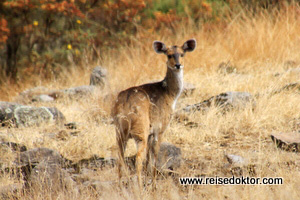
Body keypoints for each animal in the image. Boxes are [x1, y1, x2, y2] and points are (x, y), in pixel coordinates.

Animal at [111, 38, 196, 186]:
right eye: (169, 55)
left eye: (182, 54)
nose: (178, 65)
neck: (169, 94)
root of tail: (125, 104)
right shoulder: (159, 128)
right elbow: (154, 156)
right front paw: (154, 185)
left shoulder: (151, 132)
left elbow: (148, 160)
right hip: (140, 131)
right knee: (137, 159)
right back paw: (139, 187)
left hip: (119, 132)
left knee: (120, 158)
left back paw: (121, 185)